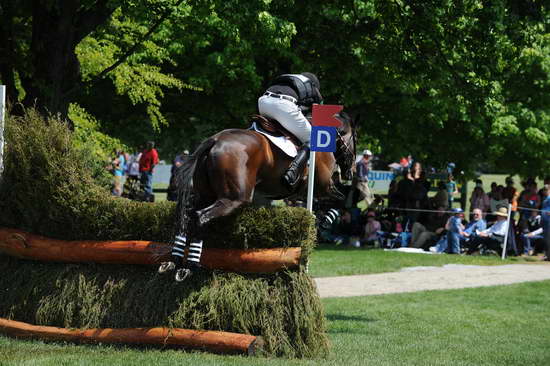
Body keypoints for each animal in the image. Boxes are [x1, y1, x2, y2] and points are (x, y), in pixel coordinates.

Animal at [160, 111, 358, 280]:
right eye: (355, 139)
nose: (351, 172)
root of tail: (215, 140)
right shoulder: (323, 187)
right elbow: (340, 202)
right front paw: (324, 222)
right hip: (233, 199)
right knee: (201, 217)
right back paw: (190, 266)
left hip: (205, 195)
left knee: (187, 216)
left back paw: (174, 262)